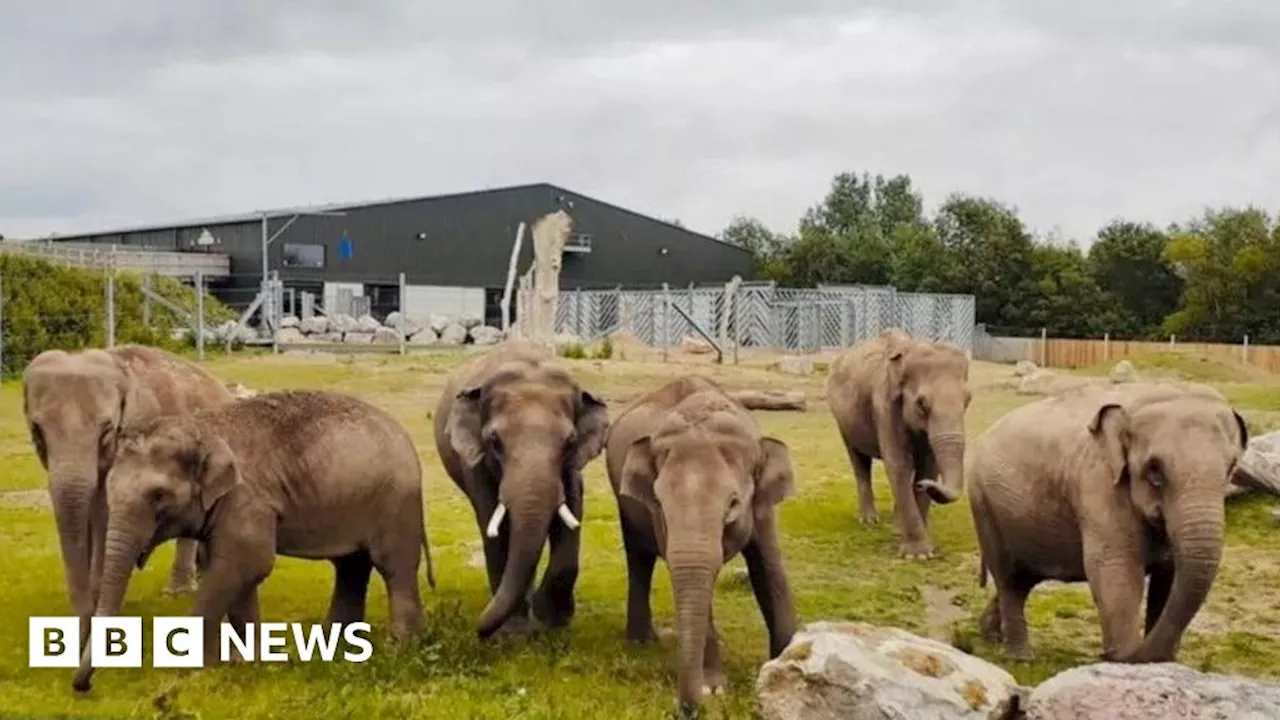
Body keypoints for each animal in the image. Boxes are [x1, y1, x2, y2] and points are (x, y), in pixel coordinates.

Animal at [71, 389, 435, 691]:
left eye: (159, 496)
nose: (82, 687)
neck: (202, 428)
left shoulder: (246, 498)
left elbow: (246, 564)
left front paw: (189, 670)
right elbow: (231, 569)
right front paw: (244, 664)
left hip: (395, 500)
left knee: (392, 566)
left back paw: (399, 648)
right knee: (351, 566)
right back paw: (336, 648)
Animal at [432, 338, 606, 635]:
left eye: (570, 442)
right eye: (494, 441)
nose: (478, 631)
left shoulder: (571, 466)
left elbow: (572, 507)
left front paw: (554, 620)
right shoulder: (475, 463)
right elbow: (496, 526)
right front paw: (512, 634)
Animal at [604, 371, 793, 707]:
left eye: (733, 503)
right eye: (659, 501)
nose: (688, 708)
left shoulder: (761, 506)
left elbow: (768, 569)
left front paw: (787, 663)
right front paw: (712, 689)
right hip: (623, 499)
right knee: (638, 557)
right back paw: (642, 642)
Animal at [824, 327, 962, 558]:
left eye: (968, 400)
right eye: (921, 404)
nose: (924, 486)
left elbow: (928, 466)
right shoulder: (884, 405)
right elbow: (899, 465)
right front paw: (918, 555)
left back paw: (896, 523)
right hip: (842, 420)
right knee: (859, 461)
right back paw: (868, 520)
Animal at [962, 381, 1244, 661]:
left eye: (1231, 466)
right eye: (1154, 470)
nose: (1106, 653)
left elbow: (1169, 575)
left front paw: (1161, 662)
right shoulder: (1099, 483)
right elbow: (1116, 567)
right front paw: (1125, 658)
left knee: (1024, 579)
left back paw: (990, 634)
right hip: (984, 504)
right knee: (1008, 578)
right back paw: (1020, 658)